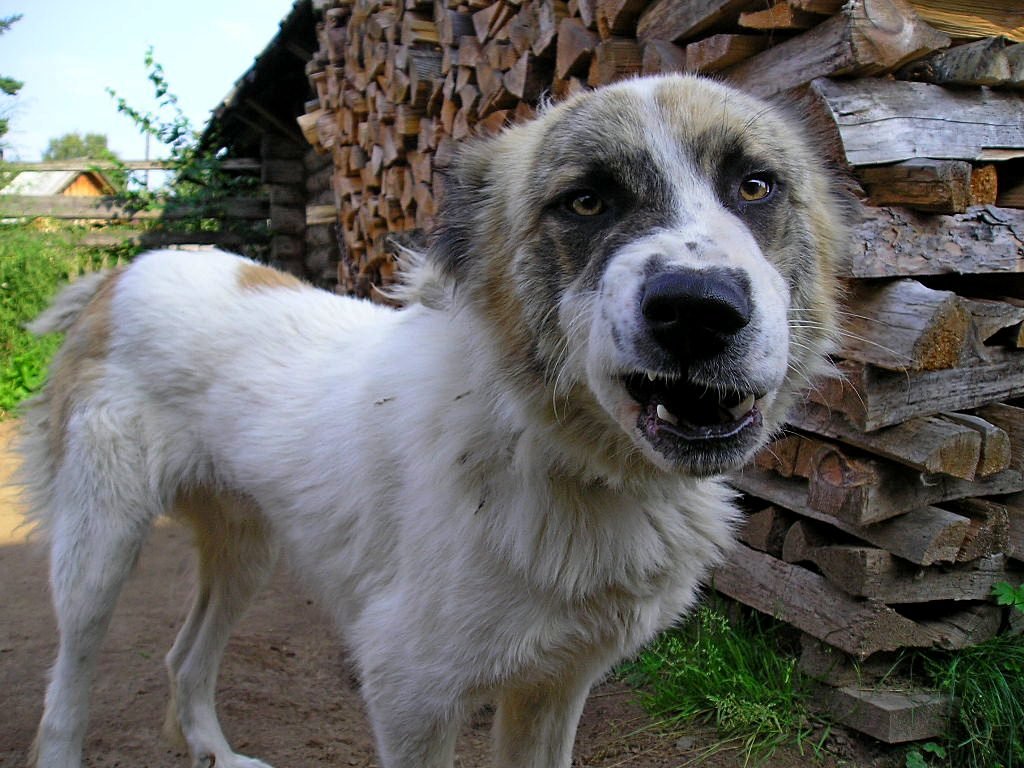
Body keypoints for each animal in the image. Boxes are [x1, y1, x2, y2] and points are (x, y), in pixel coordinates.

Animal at [22, 76, 847, 768]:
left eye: (755, 186)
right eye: (586, 202)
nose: (698, 309)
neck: (544, 452)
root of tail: (121, 273)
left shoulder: (554, 687)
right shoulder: (409, 693)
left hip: (247, 545)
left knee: (184, 657)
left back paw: (216, 754)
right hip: (98, 549)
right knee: (65, 685)